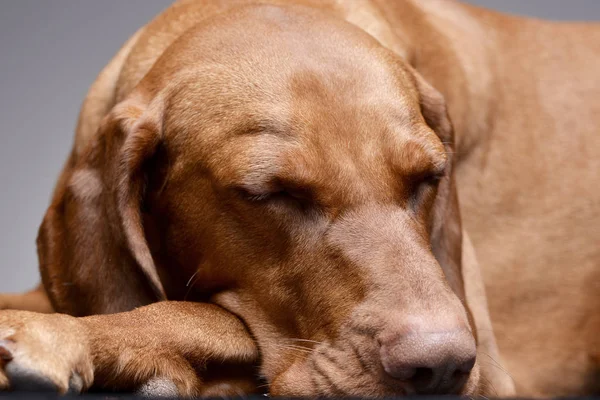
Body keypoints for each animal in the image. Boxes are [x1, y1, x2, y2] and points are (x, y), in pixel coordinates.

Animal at [1, 0, 600, 396]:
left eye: (429, 178)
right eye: (272, 192)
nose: (442, 368)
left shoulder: (493, 374)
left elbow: (201, 315)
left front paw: (62, 335)